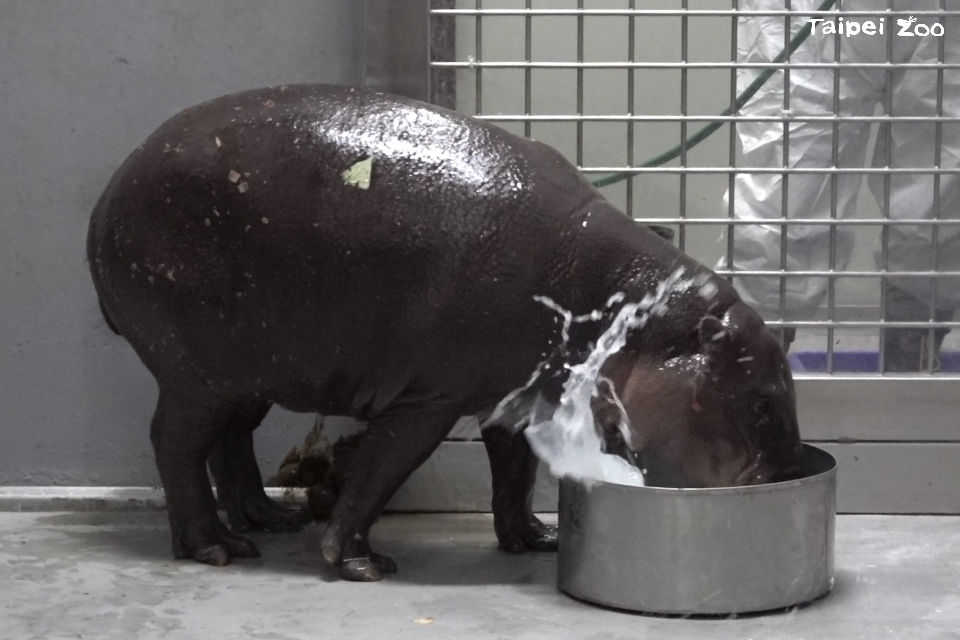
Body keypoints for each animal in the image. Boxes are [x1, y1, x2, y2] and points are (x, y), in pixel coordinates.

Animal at [88, 84, 804, 580]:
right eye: (762, 403)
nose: (784, 476)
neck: (628, 311)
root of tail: (105, 200)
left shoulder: (512, 398)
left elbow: (513, 473)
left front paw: (535, 540)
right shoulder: (426, 399)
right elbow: (378, 473)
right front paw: (361, 565)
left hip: (250, 367)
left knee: (231, 441)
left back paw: (271, 521)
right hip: (196, 373)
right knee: (177, 444)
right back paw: (216, 548)